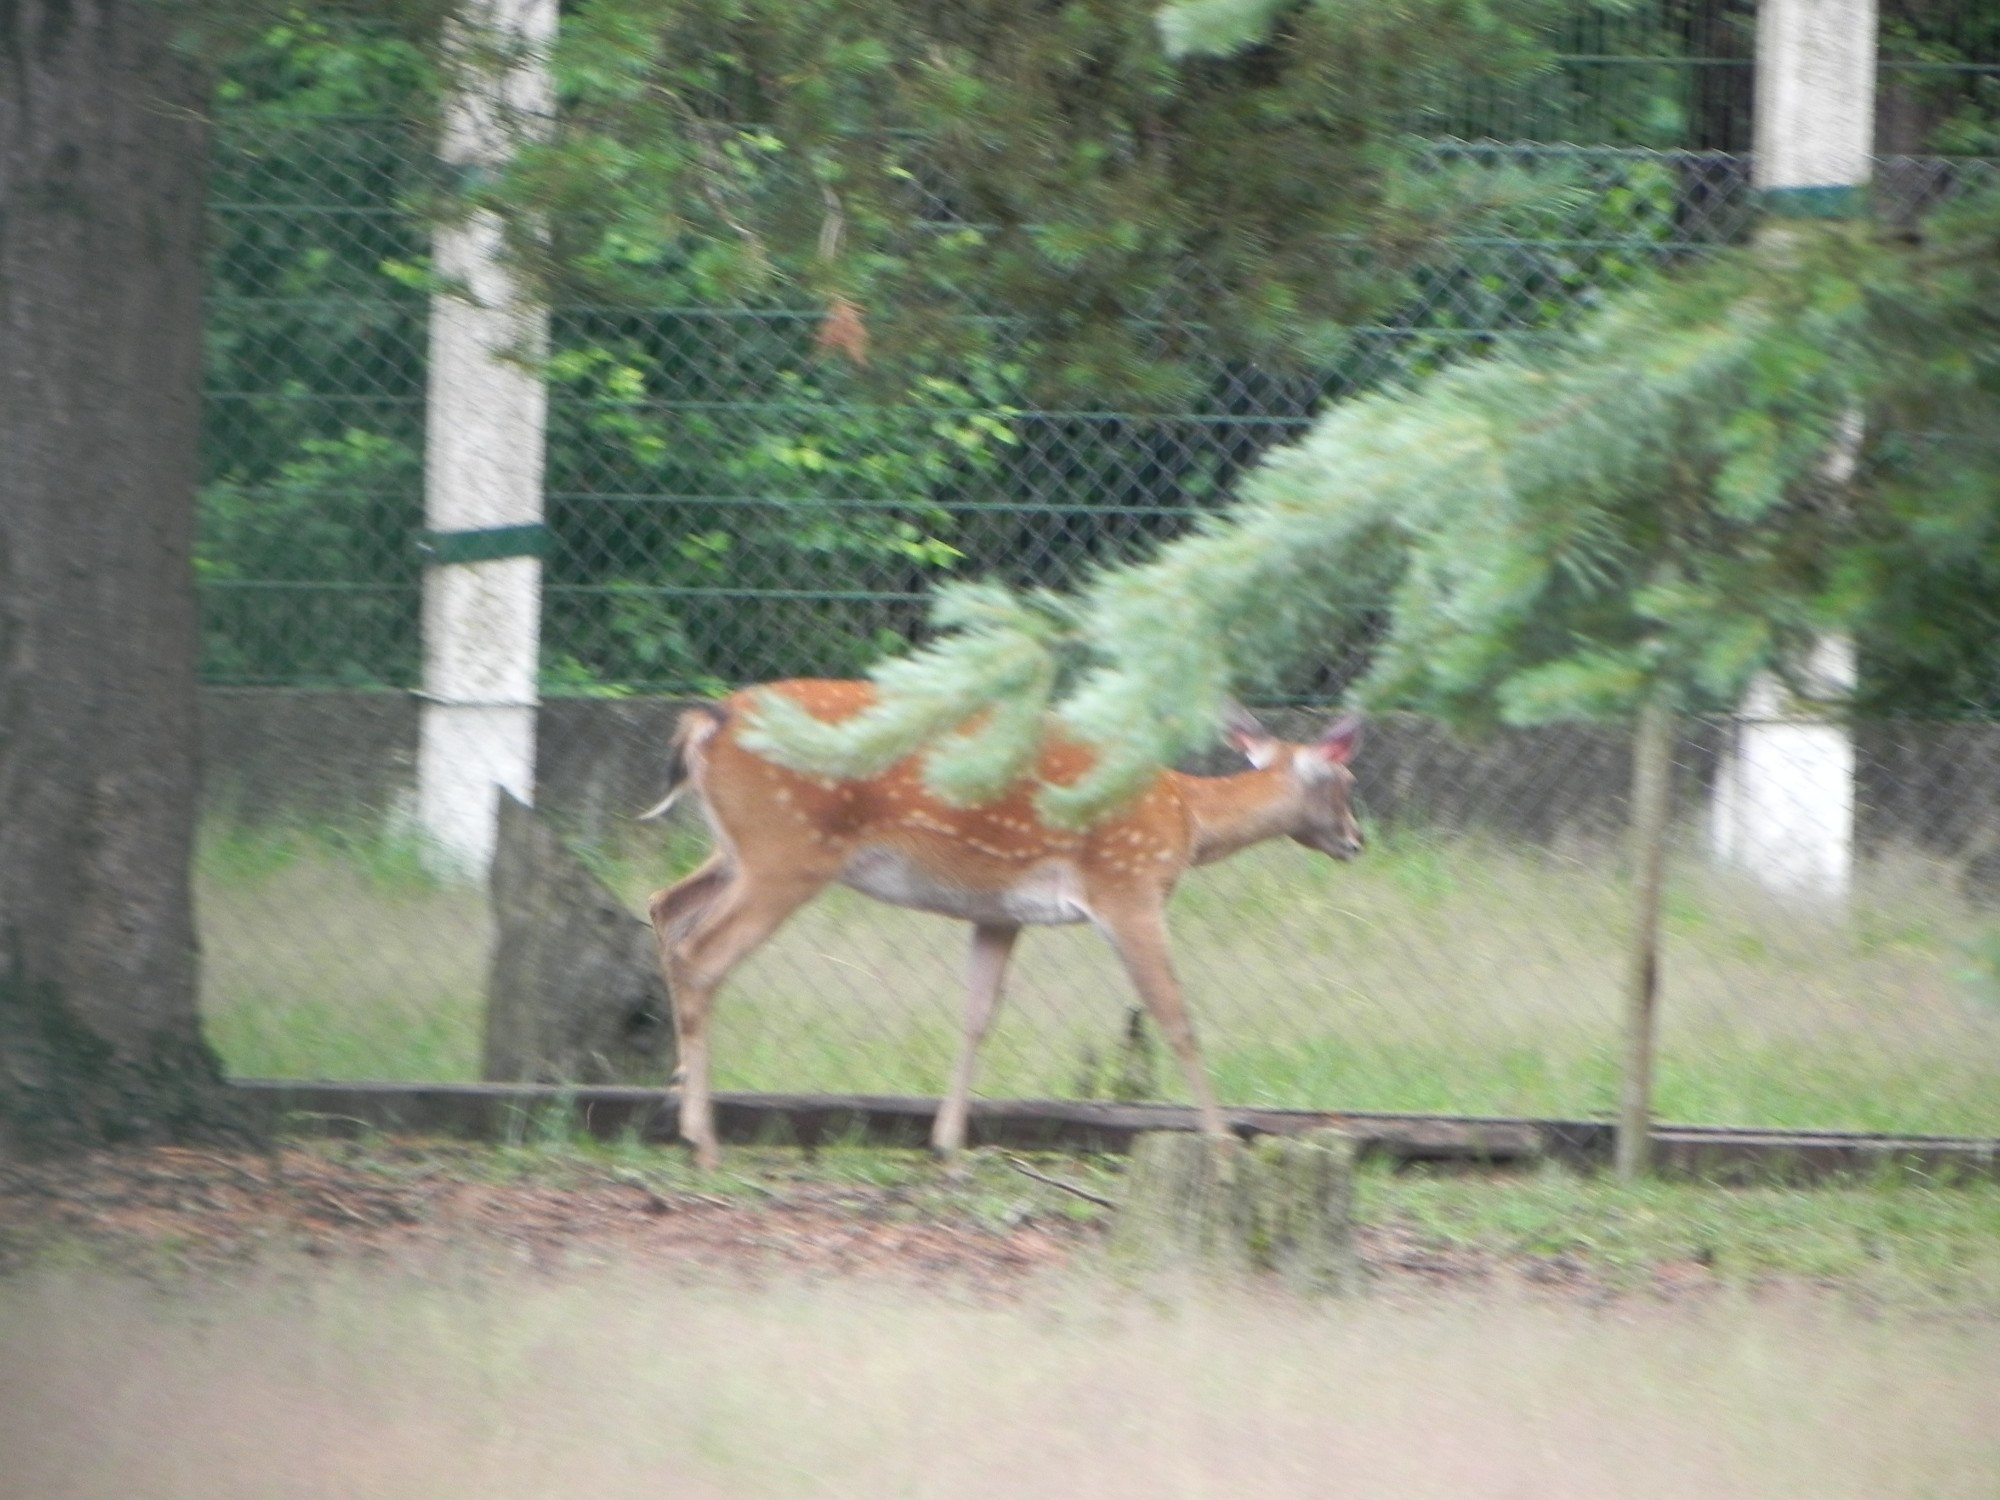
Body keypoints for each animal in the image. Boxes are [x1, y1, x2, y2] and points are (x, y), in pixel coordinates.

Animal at [640, 680, 1360, 1176]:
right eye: (1346, 779)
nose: (1358, 840)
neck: (1188, 818)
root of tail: (708, 720)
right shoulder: (1128, 888)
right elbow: (1175, 1015)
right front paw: (1223, 1145)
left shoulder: (998, 911)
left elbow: (978, 1014)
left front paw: (949, 1146)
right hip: (786, 849)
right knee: (703, 952)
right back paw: (704, 1140)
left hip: (738, 849)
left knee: (664, 906)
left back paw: (678, 1098)